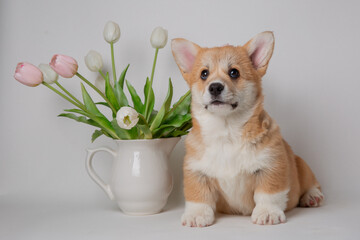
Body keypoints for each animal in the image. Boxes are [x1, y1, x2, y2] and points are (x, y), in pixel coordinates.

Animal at [172, 31, 324, 227]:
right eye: (204, 74)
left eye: (234, 72)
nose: (215, 87)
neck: (227, 130)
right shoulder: (196, 171)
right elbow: (198, 196)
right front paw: (196, 215)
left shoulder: (271, 166)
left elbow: (268, 194)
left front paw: (267, 213)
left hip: (302, 164)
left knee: (312, 183)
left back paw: (312, 196)